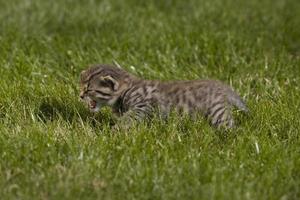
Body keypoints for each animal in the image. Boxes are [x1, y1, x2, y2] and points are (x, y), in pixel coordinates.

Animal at [78, 65, 247, 129]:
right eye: (81, 87)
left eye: (88, 89)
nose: (80, 96)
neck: (127, 89)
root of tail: (221, 85)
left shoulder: (142, 107)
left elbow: (128, 119)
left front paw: (114, 131)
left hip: (218, 113)